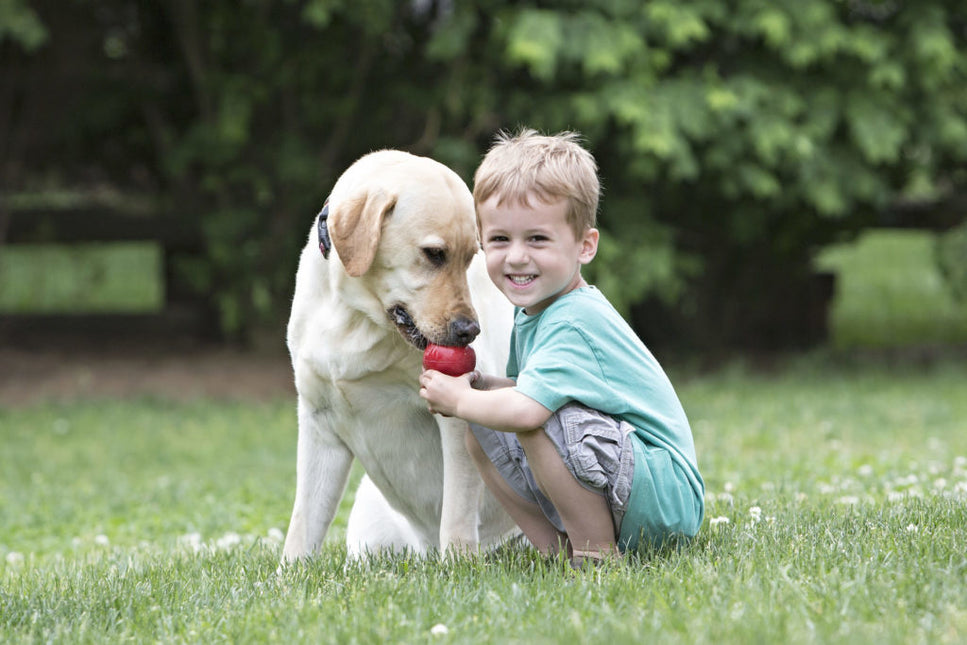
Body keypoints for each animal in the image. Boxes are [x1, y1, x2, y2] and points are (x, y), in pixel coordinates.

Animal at [284, 150, 520, 560]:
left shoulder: (457, 418)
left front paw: (458, 565)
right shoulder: (319, 423)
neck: (355, 316)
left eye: (470, 258)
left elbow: (456, 515)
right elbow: (303, 525)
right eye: (434, 254)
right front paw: (290, 574)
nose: (469, 330)